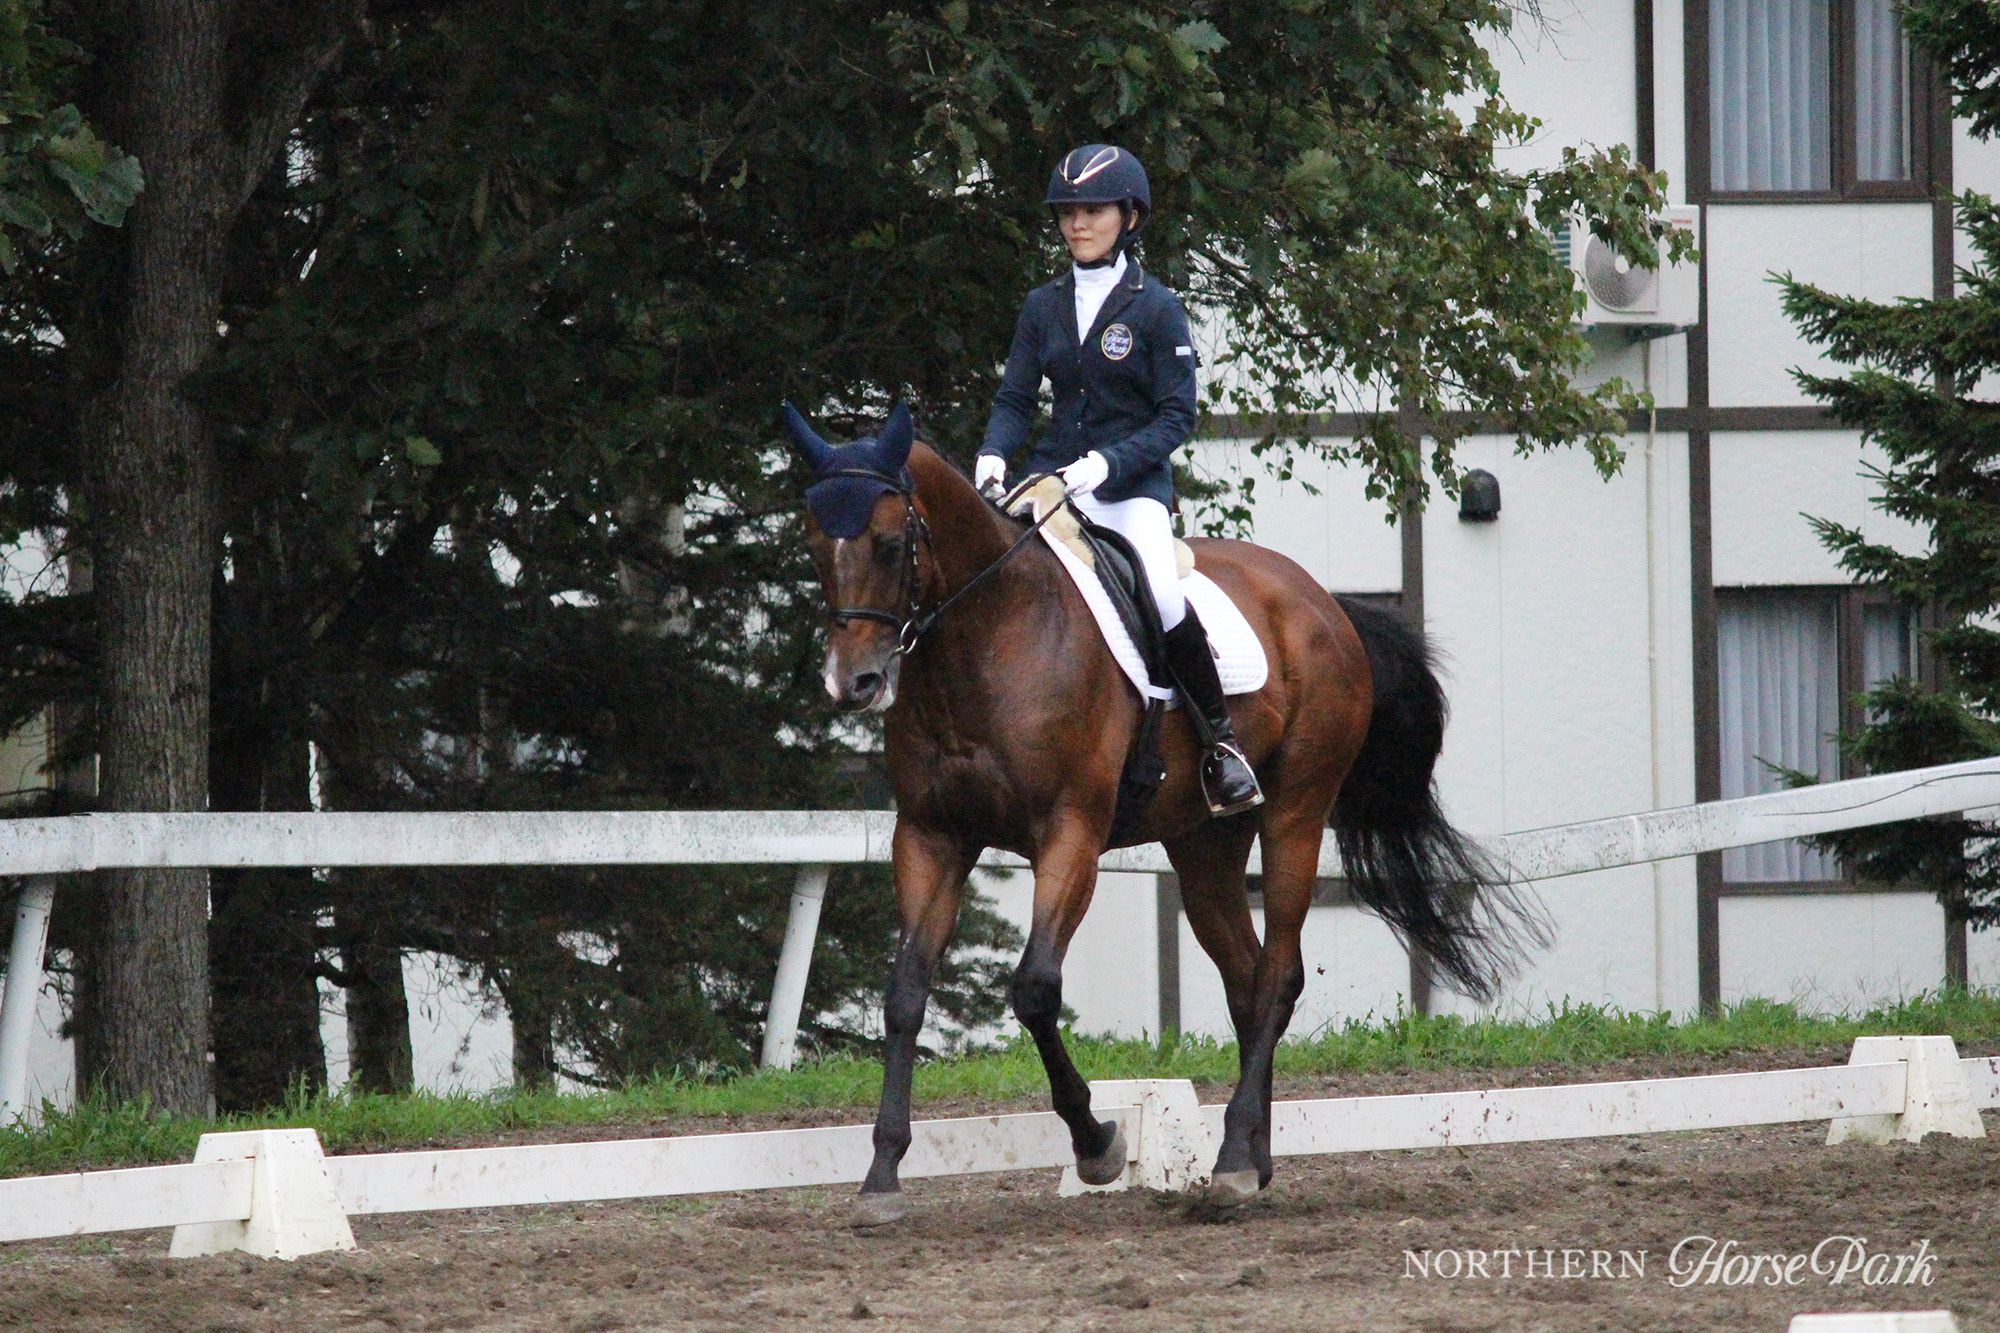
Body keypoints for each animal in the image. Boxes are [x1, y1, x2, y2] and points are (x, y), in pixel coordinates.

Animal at [784, 402, 1539, 1226]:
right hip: (1205, 842)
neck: (989, 635)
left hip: (1297, 813)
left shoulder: (1071, 835)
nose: (852, 684)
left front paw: (1098, 1143)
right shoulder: (930, 837)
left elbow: (1035, 989)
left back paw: (1235, 1158)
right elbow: (904, 994)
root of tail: (1322, 600)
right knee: (1247, 980)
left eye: (891, 543)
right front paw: (882, 1175)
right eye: (814, 544)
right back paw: (1250, 1158)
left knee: (1278, 974)